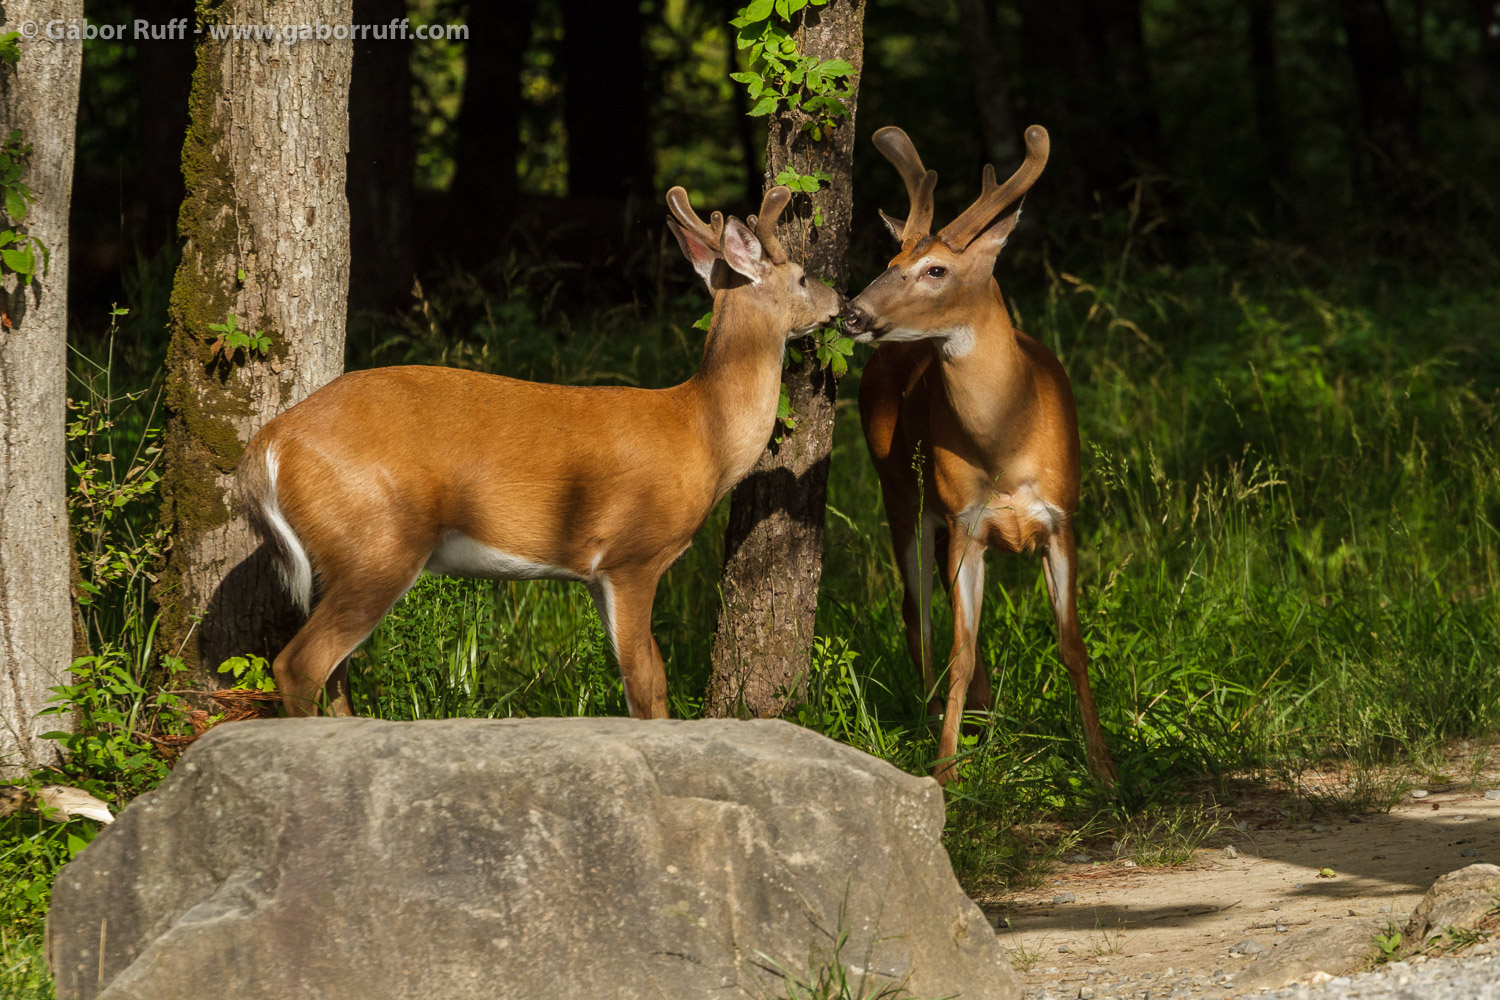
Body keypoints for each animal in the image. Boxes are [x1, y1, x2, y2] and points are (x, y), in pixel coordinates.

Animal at [237, 184, 842, 719]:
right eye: (803, 276)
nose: (841, 301)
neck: (702, 433)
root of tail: (269, 444)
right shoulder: (633, 555)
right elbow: (646, 680)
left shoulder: (597, 574)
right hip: (378, 541)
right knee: (301, 664)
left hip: (341, 557)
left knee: (334, 671)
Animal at [842, 125, 1117, 785]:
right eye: (889, 264)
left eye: (935, 269)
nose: (852, 312)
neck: (1006, 446)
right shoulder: (966, 521)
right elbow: (961, 651)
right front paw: (946, 771)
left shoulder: (1061, 518)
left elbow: (1073, 645)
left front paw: (1104, 769)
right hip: (902, 493)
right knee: (917, 611)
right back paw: (933, 716)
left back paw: (985, 718)